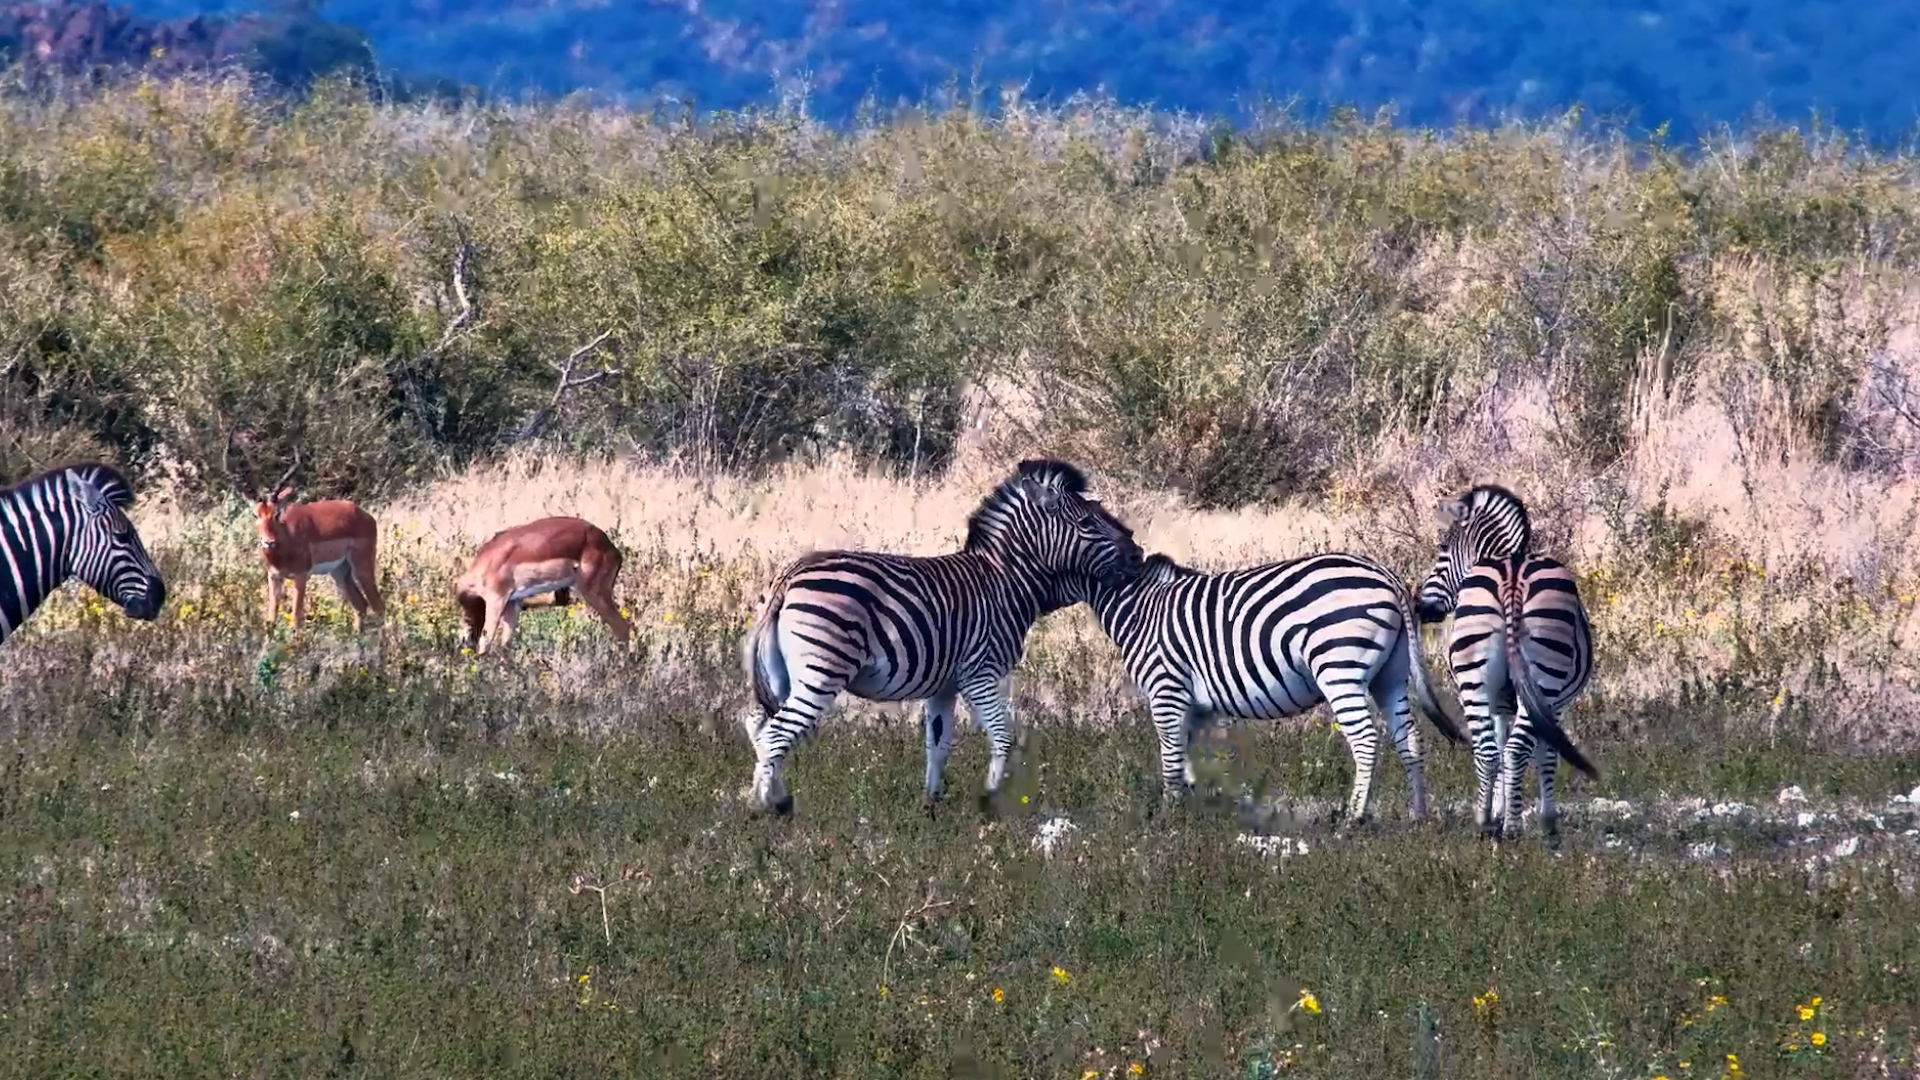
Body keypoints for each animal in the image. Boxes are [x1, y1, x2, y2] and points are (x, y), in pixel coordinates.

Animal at [738, 458, 1143, 817]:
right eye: (1087, 521)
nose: (1138, 554)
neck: (1007, 580)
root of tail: (790, 574)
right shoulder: (980, 672)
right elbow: (1002, 735)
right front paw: (990, 801)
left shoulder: (944, 686)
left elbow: (938, 744)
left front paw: (931, 805)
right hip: (822, 672)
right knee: (775, 734)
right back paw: (763, 808)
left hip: (783, 674)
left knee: (760, 726)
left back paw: (776, 800)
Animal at [1083, 550, 1466, 823]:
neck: (1141, 609)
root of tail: (1385, 575)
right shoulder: (1196, 704)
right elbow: (1185, 751)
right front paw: (1198, 807)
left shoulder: (1167, 688)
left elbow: (1171, 753)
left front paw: (1172, 815)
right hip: (1390, 674)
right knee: (1409, 738)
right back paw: (1418, 815)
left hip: (1339, 666)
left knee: (1366, 739)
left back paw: (1353, 818)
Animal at [1416, 484, 1598, 837]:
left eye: (1443, 548)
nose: (1421, 607)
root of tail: (1512, 575)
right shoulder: (1554, 702)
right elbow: (1546, 751)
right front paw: (1545, 819)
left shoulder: (1501, 700)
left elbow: (1503, 748)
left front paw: (1500, 810)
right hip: (1545, 673)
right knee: (1515, 749)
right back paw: (1513, 828)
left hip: (1474, 675)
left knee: (1489, 751)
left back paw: (1486, 823)